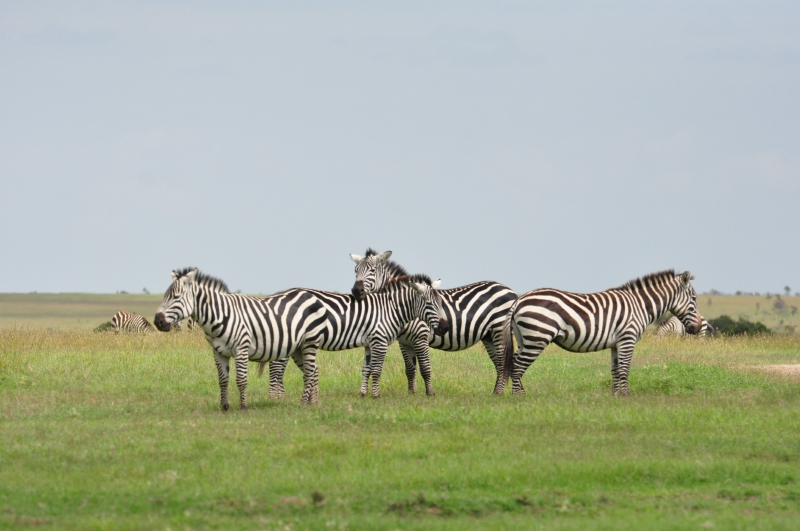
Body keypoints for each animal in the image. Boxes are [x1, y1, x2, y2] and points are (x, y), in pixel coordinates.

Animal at [154, 268, 330, 409]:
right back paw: (312, 403)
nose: (157, 321)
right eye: (164, 296)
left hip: (310, 341)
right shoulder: (218, 352)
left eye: (176, 297)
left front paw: (243, 406)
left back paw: (303, 404)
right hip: (299, 347)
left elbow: (241, 379)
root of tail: (310, 294)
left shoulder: (241, 349)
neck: (220, 315)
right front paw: (224, 406)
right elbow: (223, 380)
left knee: (310, 371)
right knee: (313, 369)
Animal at [264, 274, 449, 399]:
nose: (445, 327)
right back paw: (276, 398)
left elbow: (367, 368)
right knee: (276, 366)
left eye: (441, 303)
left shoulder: (369, 343)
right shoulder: (379, 341)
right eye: (429, 304)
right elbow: (377, 369)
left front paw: (363, 393)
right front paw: (376, 395)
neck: (389, 309)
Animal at [350, 249, 517, 395]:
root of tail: (509, 290)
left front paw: (430, 393)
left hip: (499, 330)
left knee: (503, 361)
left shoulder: (420, 338)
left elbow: (425, 368)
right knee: (499, 363)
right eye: (355, 270)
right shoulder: (404, 342)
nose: (356, 291)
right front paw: (412, 393)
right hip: (488, 335)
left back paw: (500, 392)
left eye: (372, 270)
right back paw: (495, 392)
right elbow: (410, 369)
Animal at [503, 270, 702, 396]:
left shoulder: (616, 343)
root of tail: (519, 300)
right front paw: (626, 396)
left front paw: (615, 396)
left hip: (525, 338)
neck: (640, 306)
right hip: (537, 337)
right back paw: (519, 397)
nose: (698, 328)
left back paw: (520, 393)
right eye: (694, 298)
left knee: (514, 362)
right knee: (519, 365)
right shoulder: (627, 339)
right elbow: (625, 369)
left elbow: (615, 370)